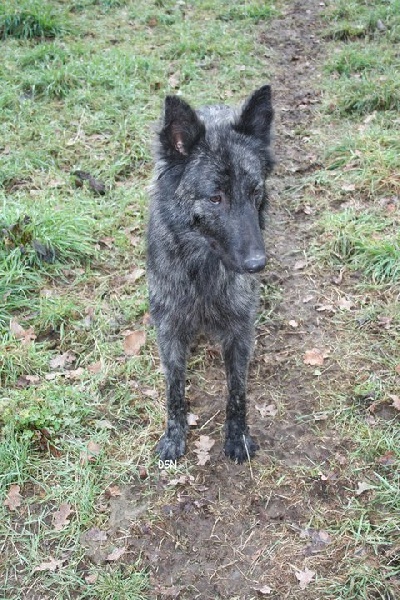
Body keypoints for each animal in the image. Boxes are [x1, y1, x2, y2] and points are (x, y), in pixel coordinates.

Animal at [147, 84, 276, 464]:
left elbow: (237, 390)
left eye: (254, 191)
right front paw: (174, 436)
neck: (203, 269)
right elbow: (174, 389)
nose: (257, 264)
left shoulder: (239, 330)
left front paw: (237, 436)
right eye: (215, 198)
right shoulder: (169, 328)